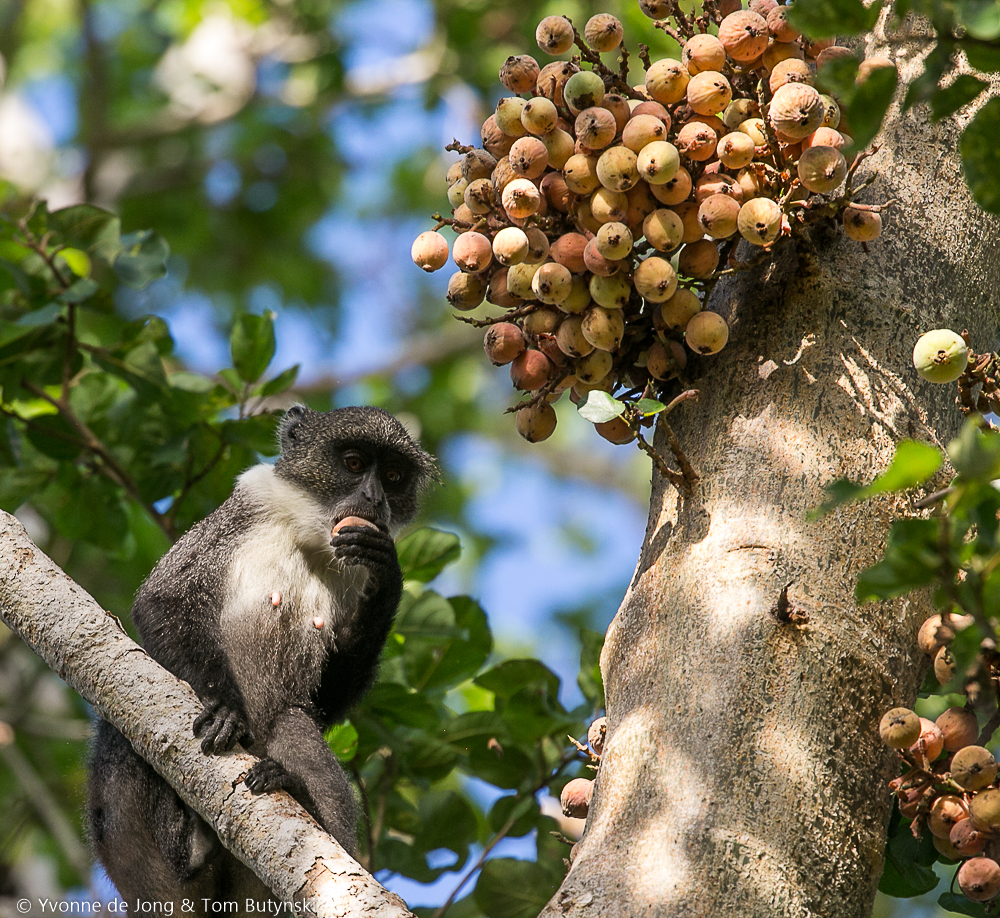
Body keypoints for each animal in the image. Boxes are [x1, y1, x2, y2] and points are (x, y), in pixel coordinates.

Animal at [87, 405, 435, 915]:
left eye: (393, 476)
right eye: (353, 463)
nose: (373, 497)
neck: (309, 537)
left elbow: (325, 701)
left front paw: (387, 574)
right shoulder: (242, 512)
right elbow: (162, 598)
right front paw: (224, 709)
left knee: (297, 731)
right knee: (124, 729)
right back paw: (190, 846)